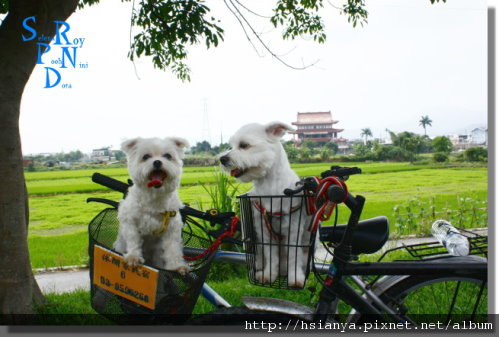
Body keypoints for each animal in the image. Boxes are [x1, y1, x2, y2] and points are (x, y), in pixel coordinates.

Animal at [114, 136, 191, 276]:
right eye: (145, 156)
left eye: (167, 156)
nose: (157, 162)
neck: (154, 197)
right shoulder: (130, 222)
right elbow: (133, 239)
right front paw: (133, 257)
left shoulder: (172, 228)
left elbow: (173, 249)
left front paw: (177, 266)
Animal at [220, 121, 312, 286]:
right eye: (231, 145)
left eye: (244, 145)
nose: (222, 159)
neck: (269, 186)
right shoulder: (264, 230)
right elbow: (271, 256)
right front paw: (269, 275)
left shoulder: (294, 230)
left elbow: (293, 256)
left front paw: (295, 278)